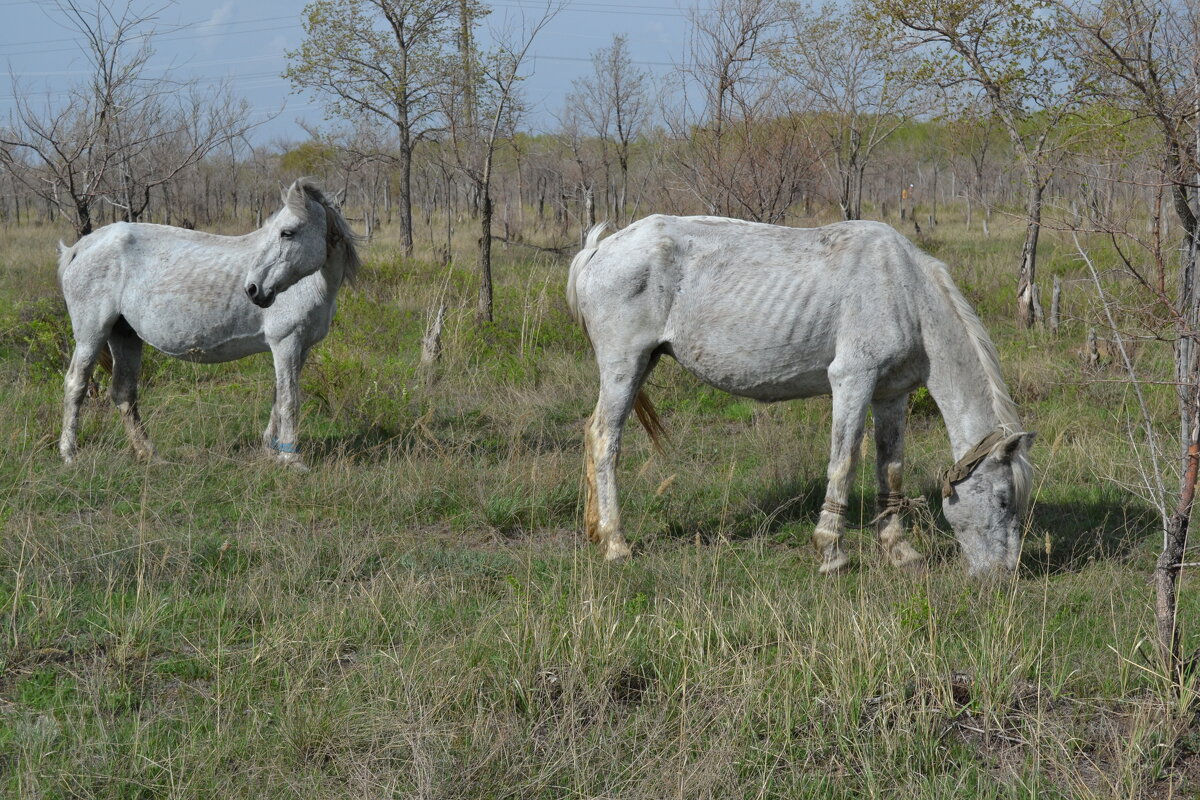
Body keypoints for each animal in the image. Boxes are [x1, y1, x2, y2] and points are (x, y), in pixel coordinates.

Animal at [59, 176, 360, 470]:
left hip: (125, 335)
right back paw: (69, 453)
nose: (253, 289)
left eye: (287, 232)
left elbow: (278, 398)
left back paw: (150, 455)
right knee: (76, 384)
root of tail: (81, 246)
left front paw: (271, 451)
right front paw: (291, 459)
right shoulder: (285, 344)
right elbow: (289, 401)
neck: (312, 284)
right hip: (91, 335)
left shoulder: (300, 348)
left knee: (124, 393)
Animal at [566, 214, 1036, 575]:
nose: (1004, 575)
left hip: (640, 365)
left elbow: (890, 470)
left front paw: (899, 551)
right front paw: (832, 553)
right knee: (605, 439)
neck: (905, 292)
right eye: (1003, 499)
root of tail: (599, 250)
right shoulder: (852, 379)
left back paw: (596, 532)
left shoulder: (891, 395)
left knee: (593, 432)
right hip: (624, 366)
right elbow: (844, 463)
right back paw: (615, 544)